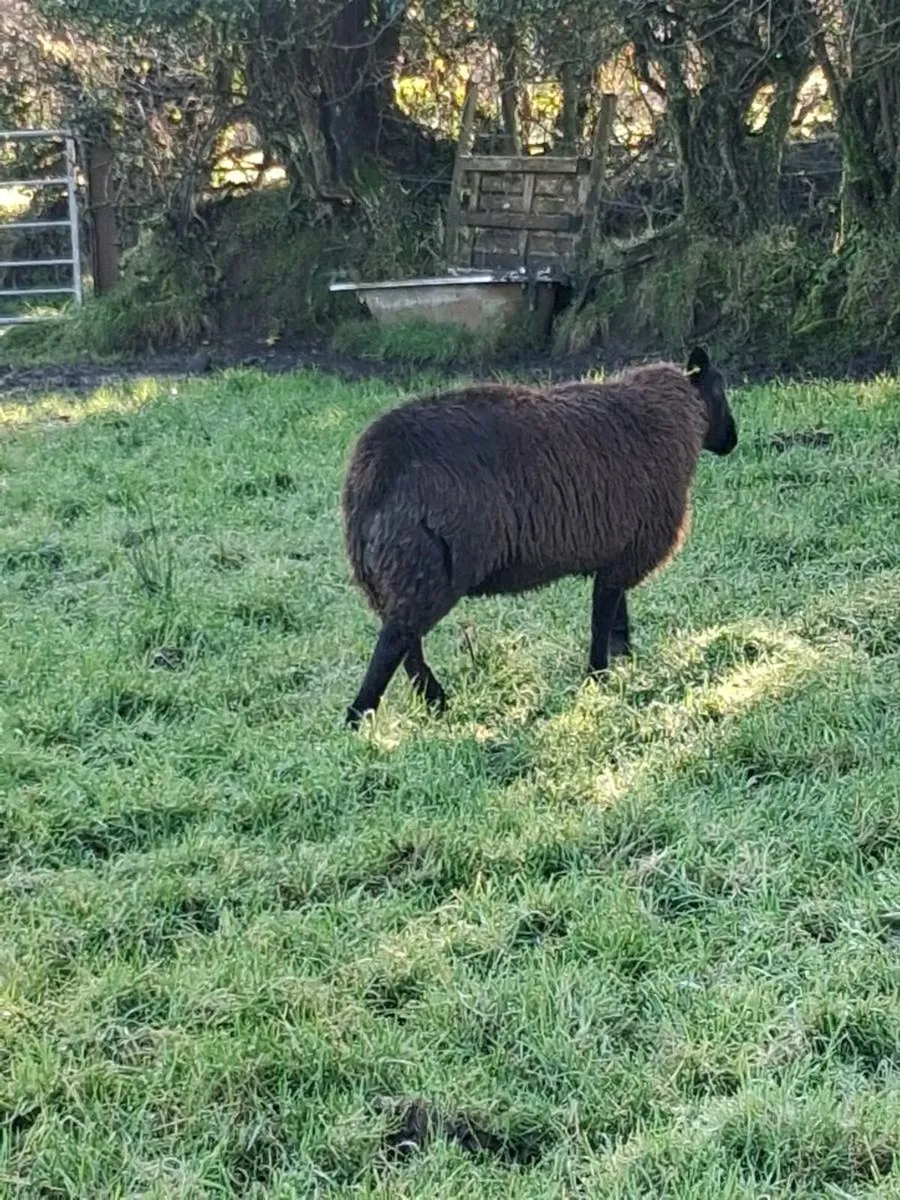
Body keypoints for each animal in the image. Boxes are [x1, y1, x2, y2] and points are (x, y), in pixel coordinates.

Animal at [341, 346, 738, 727]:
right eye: (719, 390)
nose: (733, 440)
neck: (675, 416)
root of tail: (373, 469)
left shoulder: (617, 550)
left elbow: (616, 616)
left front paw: (623, 660)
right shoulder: (627, 551)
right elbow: (602, 617)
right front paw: (598, 676)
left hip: (395, 574)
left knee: (408, 645)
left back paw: (435, 703)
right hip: (424, 567)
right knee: (394, 643)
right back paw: (359, 718)